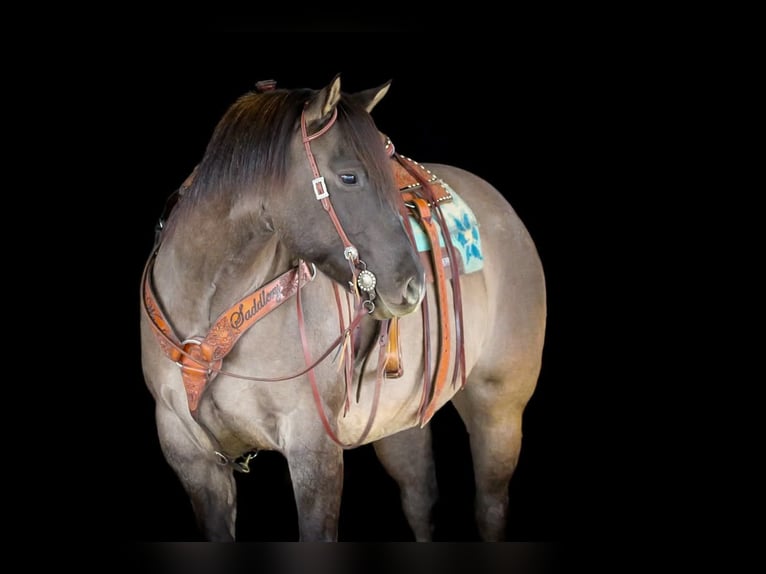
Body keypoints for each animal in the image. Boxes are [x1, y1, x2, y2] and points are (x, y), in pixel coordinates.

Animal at [139, 74, 547, 541]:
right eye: (349, 176)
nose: (413, 287)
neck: (208, 311)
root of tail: (502, 210)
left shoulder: (314, 449)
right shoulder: (192, 458)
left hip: (498, 411)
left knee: (491, 508)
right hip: (397, 424)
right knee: (420, 499)